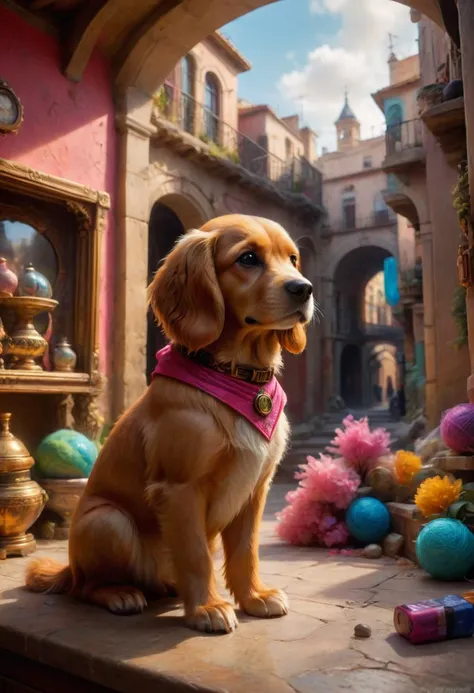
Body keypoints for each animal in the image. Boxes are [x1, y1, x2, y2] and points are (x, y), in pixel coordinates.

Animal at [25, 215, 314, 632]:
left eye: (292, 259)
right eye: (248, 258)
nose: (304, 288)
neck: (238, 378)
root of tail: (70, 567)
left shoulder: (255, 489)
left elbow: (245, 552)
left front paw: (253, 597)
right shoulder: (180, 489)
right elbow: (195, 556)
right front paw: (208, 608)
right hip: (107, 521)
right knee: (85, 586)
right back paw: (121, 594)